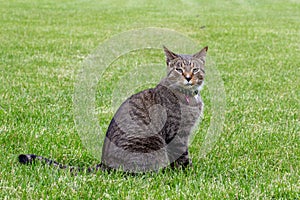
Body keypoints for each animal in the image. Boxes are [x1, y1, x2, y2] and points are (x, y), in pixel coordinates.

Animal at [18, 45, 207, 173]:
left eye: (195, 69)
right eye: (179, 69)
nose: (188, 77)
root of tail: (104, 164)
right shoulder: (177, 133)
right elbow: (182, 157)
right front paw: (188, 173)